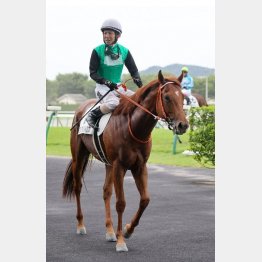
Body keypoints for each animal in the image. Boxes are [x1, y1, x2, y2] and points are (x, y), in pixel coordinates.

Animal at [62, 69, 188, 252]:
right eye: (167, 97)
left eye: (183, 97)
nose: (182, 125)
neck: (133, 127)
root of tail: (81, 108)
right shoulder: (119, 166)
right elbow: (121, 203)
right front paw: (121, 241)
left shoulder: (139, 166)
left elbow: (145, 200)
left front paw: (128, 230)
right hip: (79, 156)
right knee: (78, 187)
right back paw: (80, 225)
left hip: (107, 164)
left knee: (106, 192)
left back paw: (110, 231)